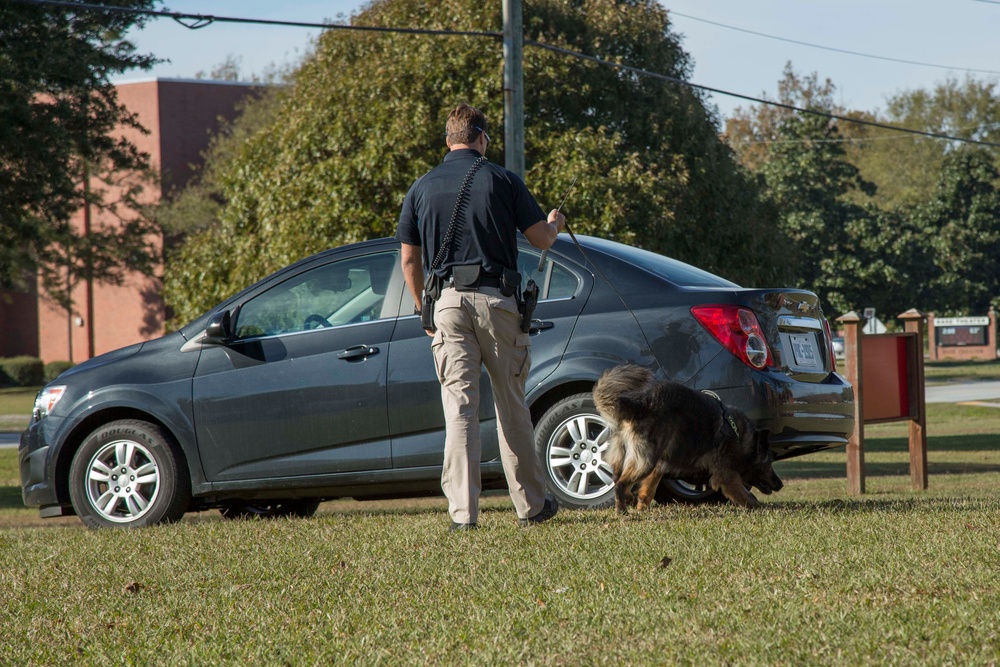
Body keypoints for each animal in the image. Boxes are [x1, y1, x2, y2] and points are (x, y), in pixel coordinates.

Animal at [592, 368, 780, 516]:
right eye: (769, 463)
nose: (780, 484)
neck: (739, 434)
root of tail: (641, 402)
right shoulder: (726, 475)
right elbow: (745, 495)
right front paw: (759, 506)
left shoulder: (659, 466)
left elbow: (648, 490)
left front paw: (641, 506)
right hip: (645, 461)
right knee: (621, 483)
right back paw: (621, 510)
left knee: (616, 478)